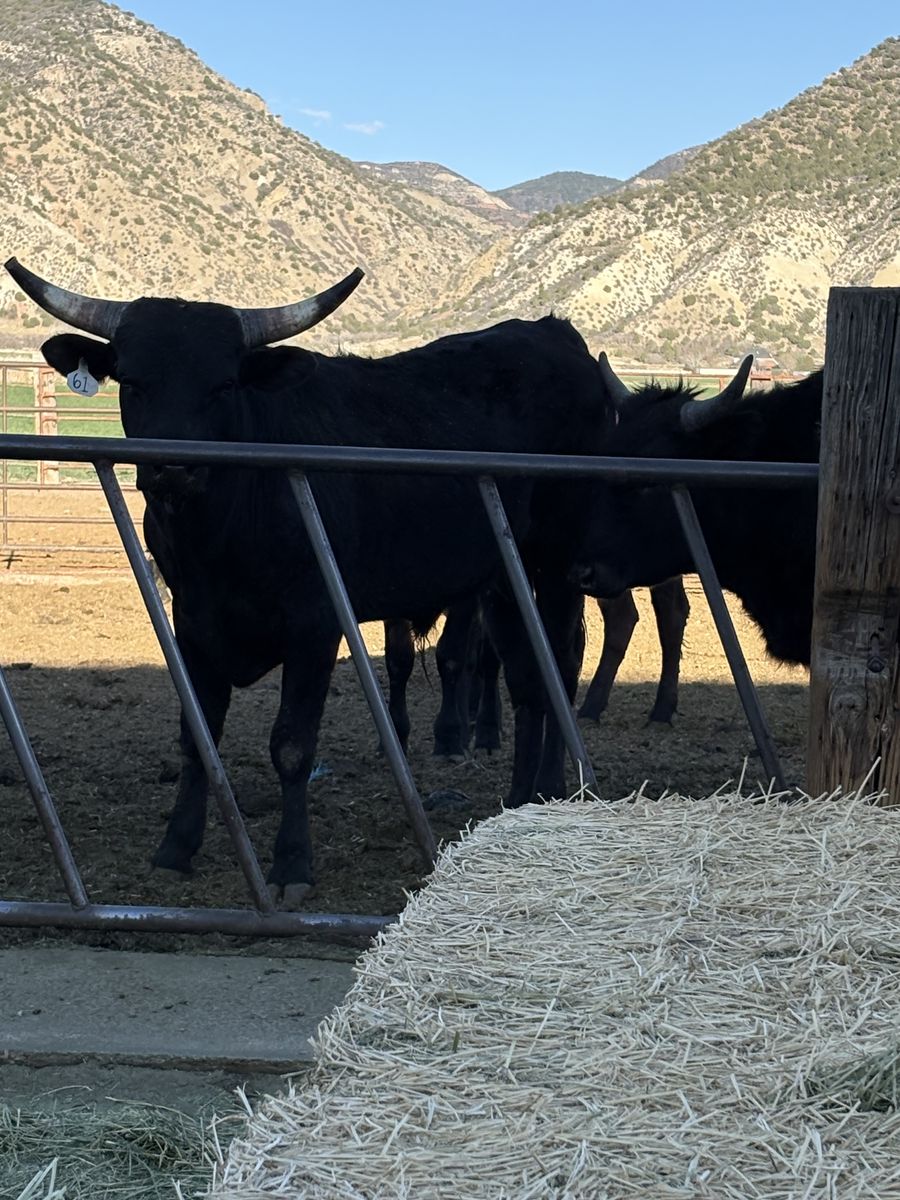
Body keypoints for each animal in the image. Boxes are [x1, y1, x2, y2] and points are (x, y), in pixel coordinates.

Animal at [7, 258, 610, 906]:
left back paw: (551, 787)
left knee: (561, 662)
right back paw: (520, 799)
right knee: (526, 680)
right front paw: (177, 846)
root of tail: (555, 332)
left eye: (224, 385)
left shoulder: (314, 626)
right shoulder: (192, 622)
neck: (221, 533)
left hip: (555, 566)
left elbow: (292, 746)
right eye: (133, 381)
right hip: (503, 579)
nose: (173, 466)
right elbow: (198, 736)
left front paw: (292, 863)